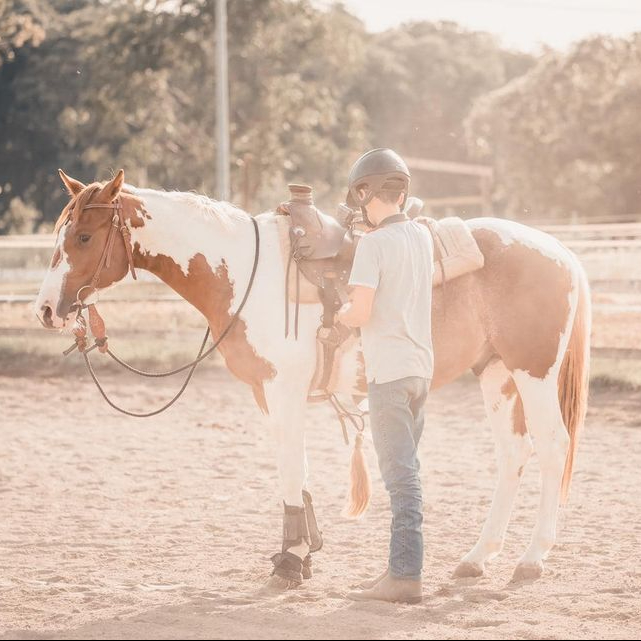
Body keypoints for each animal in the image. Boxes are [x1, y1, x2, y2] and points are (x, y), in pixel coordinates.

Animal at [35, 169, 590, 586]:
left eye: (83, 236)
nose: (45, 310)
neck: (245, 272)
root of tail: (562, 253)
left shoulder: (283, 389)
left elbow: (289, 469)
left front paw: (289, 564)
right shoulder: (270, 394)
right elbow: (295, 469)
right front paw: (301, 554)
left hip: (533, 373)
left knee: (553, 448)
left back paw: (531, 560)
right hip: (496, 373)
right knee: (514, 454)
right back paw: (477, 558)